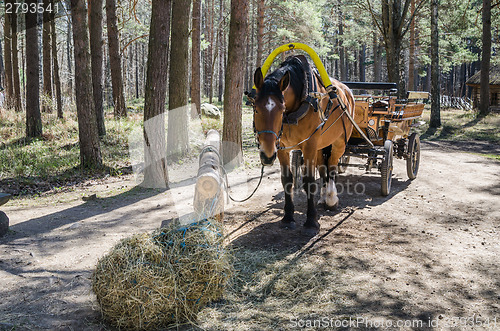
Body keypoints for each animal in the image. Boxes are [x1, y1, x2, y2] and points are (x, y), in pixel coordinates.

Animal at [254, 55, 356, 236]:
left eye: (281, 109)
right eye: (256, 108)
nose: (267, 155)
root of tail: (347, 91)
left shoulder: (309, 145)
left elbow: (309, 181)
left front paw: (311, 221)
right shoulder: (281, 147)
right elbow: (287, 179)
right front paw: (288, 217)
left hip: (339, 142)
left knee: (332, 166)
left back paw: (331, 198)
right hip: (321, 145)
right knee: (323, 167)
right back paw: (323, 196)